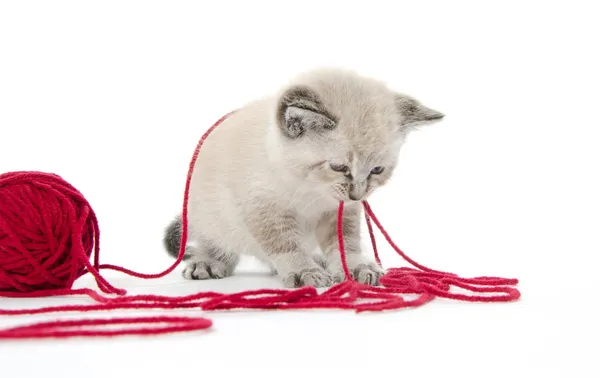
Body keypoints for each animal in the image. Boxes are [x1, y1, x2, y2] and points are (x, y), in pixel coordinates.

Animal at [162, 67, 442, 286]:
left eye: (377, 170)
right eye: (339, 167)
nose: (357, 195)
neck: (310, 188)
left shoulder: (340, 212)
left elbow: (346, 243)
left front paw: (354, 267)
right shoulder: (264, 211)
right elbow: (286, 244)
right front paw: (303, 271)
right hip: (211, 215)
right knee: (215, 243)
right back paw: (207, 263)